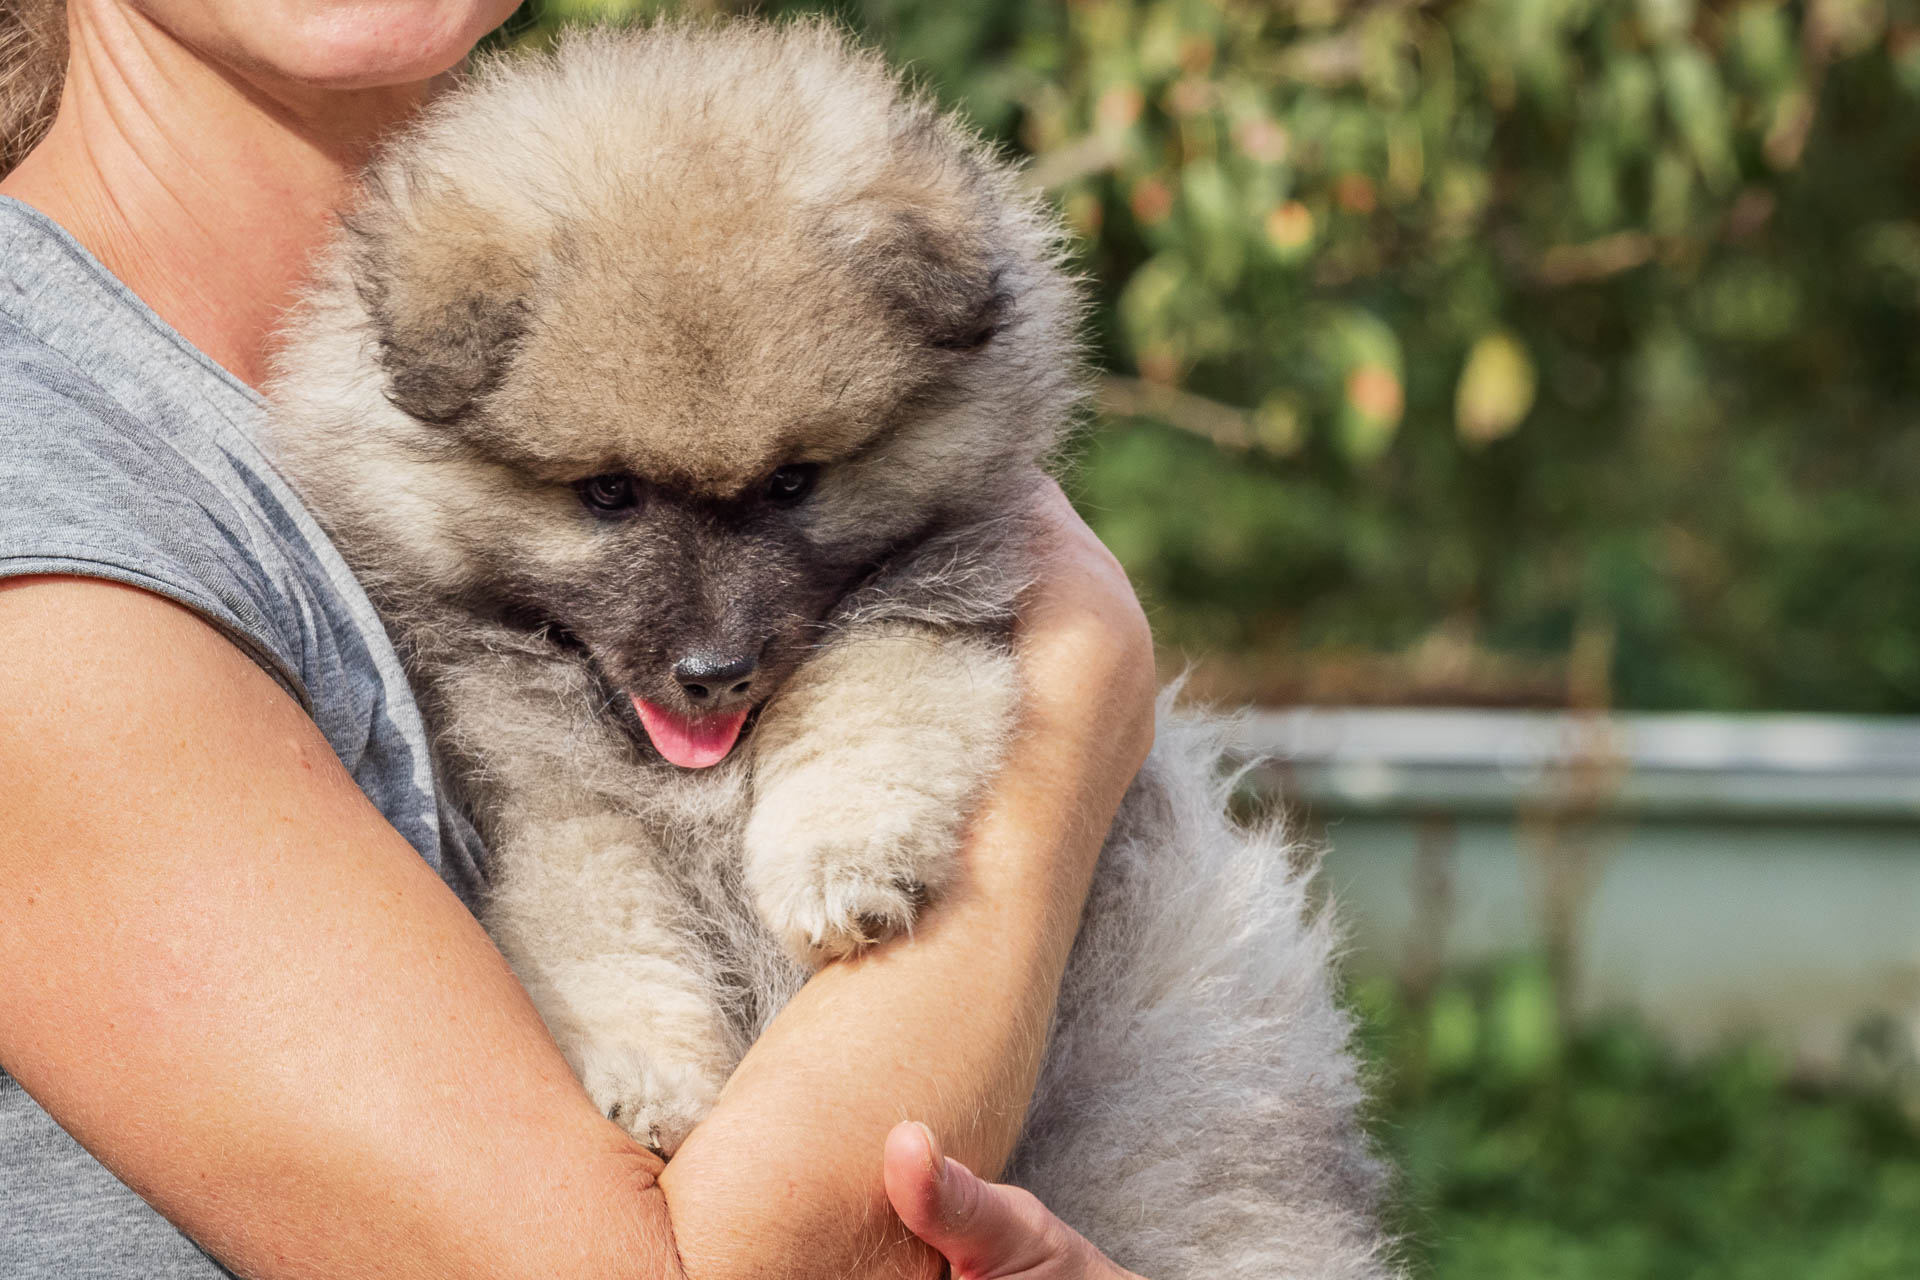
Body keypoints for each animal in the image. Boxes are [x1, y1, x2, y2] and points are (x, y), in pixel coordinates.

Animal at [266, 22, 1397, 1280]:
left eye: (793, 482)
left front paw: (833, 864)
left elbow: (860, 710)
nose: (714, 671)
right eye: (608, 492)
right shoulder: (548, 798)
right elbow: (602, 927)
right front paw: (648, 1084)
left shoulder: (936, 613)